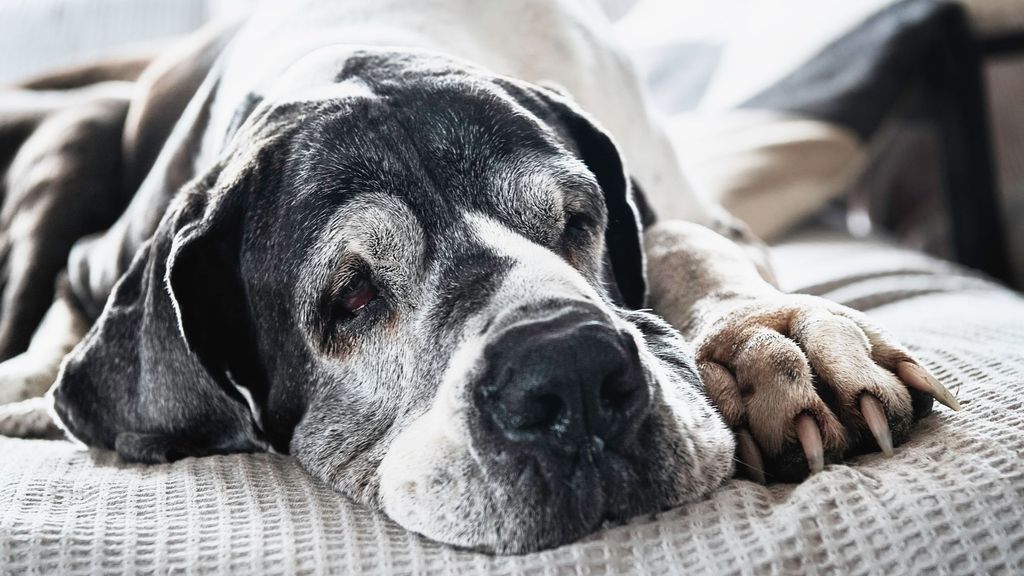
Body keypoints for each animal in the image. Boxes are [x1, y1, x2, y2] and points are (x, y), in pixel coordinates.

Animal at [0, 0, 954, 553]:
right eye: (350, 296)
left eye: (576, 222)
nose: (571, 375)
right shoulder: (104, 254)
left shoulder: (694, 212)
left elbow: (688, 243)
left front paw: (775, 342)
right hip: (66, 151)